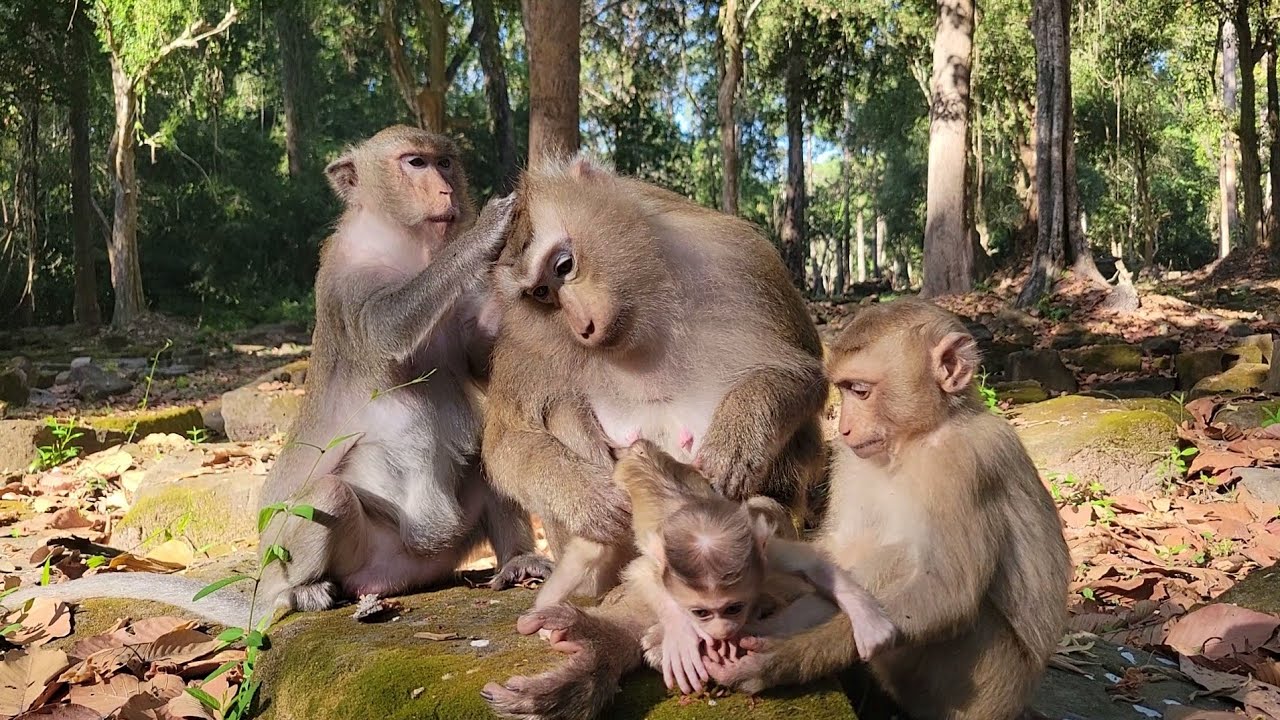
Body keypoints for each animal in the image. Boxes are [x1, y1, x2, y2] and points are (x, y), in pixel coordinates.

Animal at [6, 127, 549, 626]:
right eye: (416, 162)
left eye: (445, 162)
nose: (445, 190)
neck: (408, 246)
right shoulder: (344, 278)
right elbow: (387, 330)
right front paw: (488, 232)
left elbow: (480, 361)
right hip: (338, 551)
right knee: (328, 497)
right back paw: (302, 592)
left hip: (443, 543)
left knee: (488, 459)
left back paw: (518, 561)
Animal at [481, 156, 829, 614]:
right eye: (541, 294)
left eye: (564, 266)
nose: (582, 326)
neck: (638, 310)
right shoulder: (521, 343)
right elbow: (507, 440)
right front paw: (587, 498)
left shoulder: (741, 261)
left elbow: (804, 374)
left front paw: (737, 440)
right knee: (561, 407)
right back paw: (597, 568)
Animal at [700, 298, 1072, 720]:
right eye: (843, 391)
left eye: (860, 391)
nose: (844, 427)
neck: (918, 439)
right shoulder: (851, 458)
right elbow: (836, 552)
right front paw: (762, 521)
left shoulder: (965, 464)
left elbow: (948, 593)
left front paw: (778, 662)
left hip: (989, 685)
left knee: (902, 559)